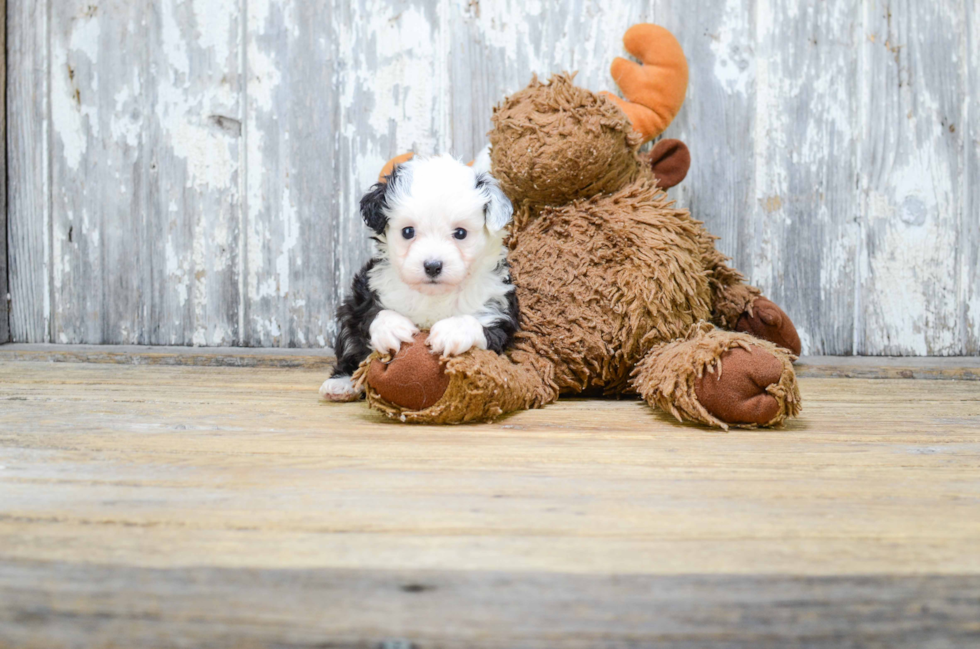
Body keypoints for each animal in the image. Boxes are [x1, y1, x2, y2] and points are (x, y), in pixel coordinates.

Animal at [322, 154, 520, 402]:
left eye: (460, 233)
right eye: (408, 232)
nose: (433, 266)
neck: (434, 295)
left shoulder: (498, 308)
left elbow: (486, 329)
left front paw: (454, 330)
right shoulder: (368, 291)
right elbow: (372, 313)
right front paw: (391, 326)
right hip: (347, 317)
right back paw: (341, 384)